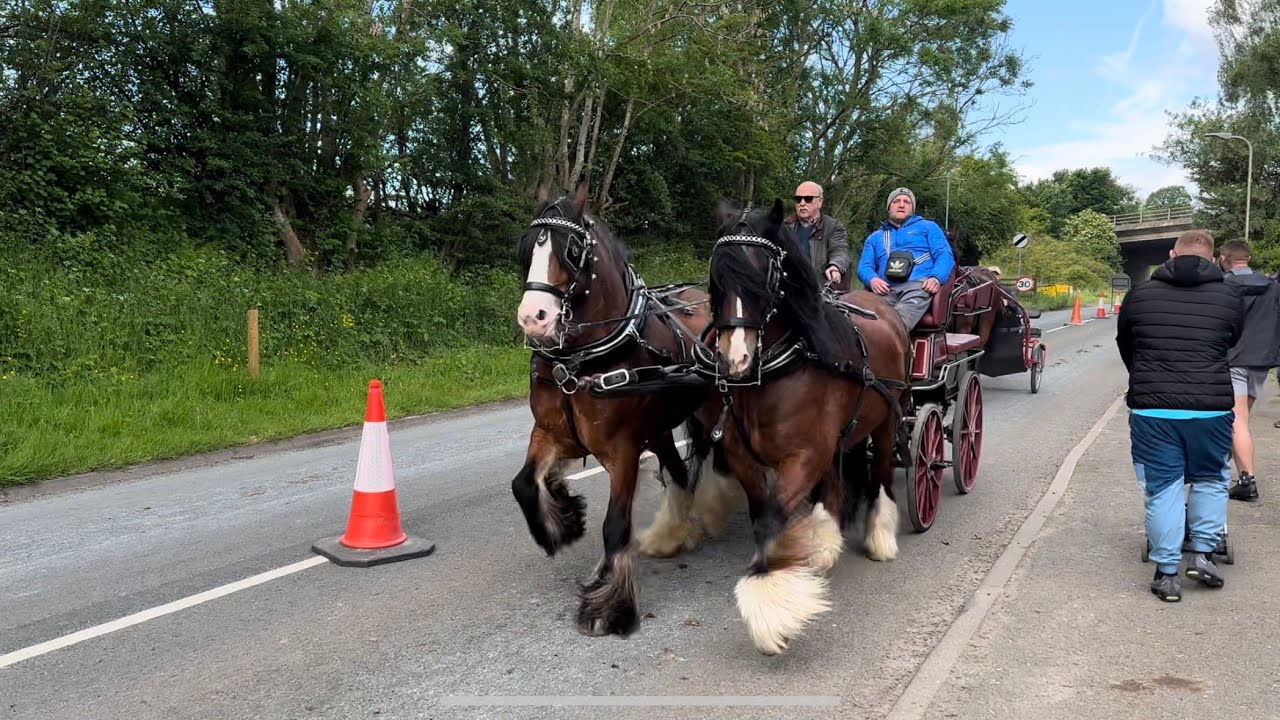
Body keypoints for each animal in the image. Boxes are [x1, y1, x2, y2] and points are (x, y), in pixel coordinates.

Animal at [512, 181, 741, 637]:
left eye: (572, 251)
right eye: (526, 248)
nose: (533, 318)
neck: (581, 360)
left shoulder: (623, 450)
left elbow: (615, 525)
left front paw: (608, 605)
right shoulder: (549, 433)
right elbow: (524, 484)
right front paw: (563, 522)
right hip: (660, 428)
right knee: (679, 473)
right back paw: (674, 532)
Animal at [703, 197, 912, 656]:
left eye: (764, 276)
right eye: (717, 276)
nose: (734, 359)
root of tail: (886, 309)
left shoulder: (801, 458)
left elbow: (774, 518)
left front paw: (770, 610)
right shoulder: (745, 459)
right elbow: (763, 517)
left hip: (888, 419)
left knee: (882, 473)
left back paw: (880, 538)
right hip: (840, 437)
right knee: (835, 485)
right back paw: (825, 547)